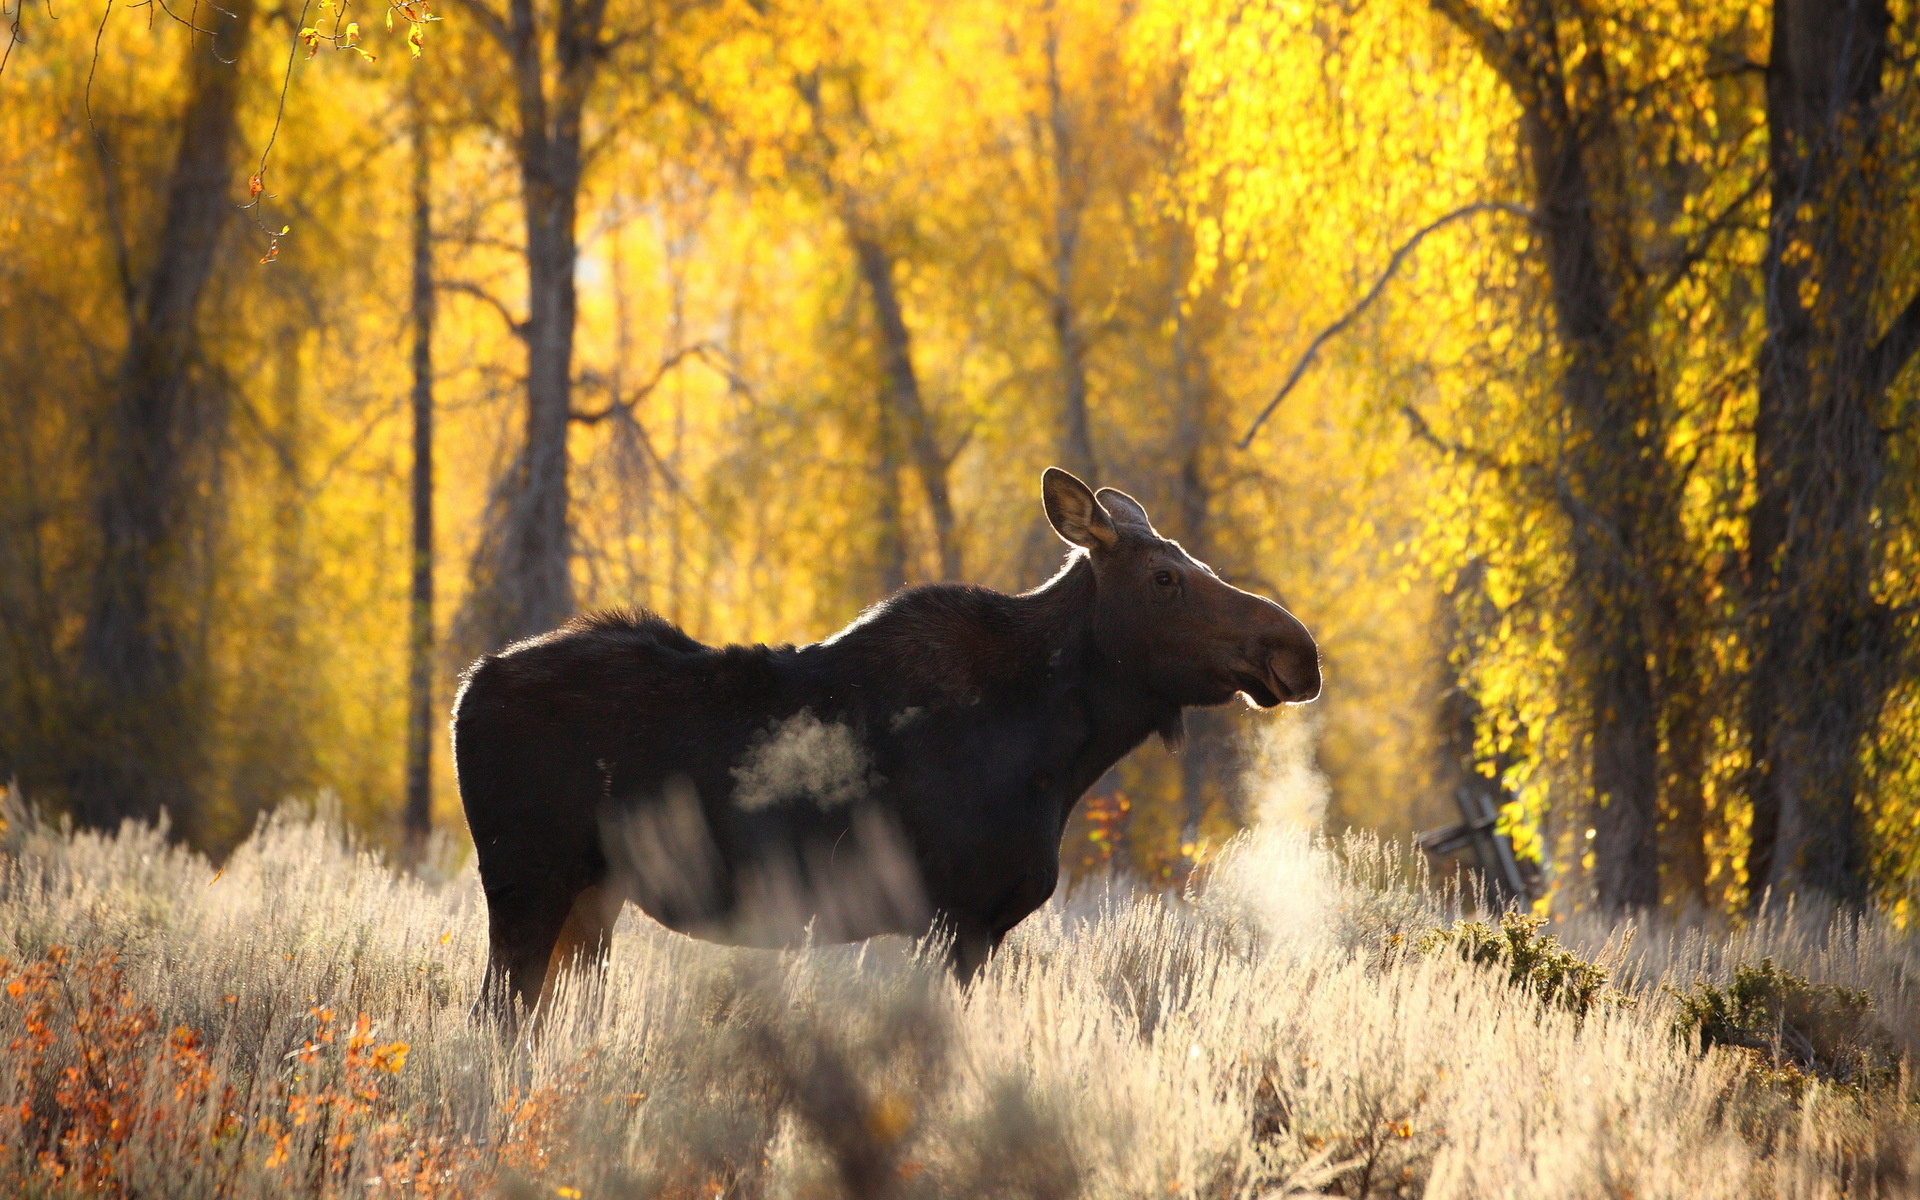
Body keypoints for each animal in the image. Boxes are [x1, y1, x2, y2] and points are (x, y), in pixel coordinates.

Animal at [451, 468, 1320, 1021]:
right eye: (1166, 578)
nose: (1297, 649)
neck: (1056, 753)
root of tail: (468, 685)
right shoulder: (953, 915)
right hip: (527, 881)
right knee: (494, 1018)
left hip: (590, 899)